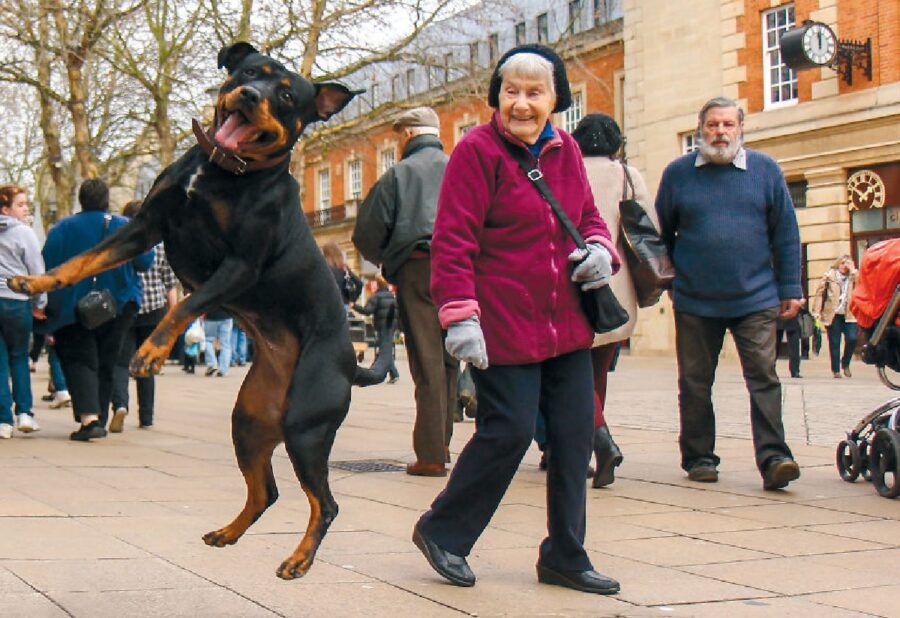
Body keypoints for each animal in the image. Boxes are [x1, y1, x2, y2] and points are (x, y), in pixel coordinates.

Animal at [9, 43, 390, 576]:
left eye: (287, 96)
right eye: (249, 72)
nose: (249, 95)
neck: (220, 171)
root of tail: (350, 362)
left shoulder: (239, 266)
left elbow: (186, 303)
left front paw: (149, 353)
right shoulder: (146, 227)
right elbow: (80, 261)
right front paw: (34, 281)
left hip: (305, 425)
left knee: (326, 503)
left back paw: (298, 560)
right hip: (249, 424)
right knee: (266, 491)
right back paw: (227, 534)